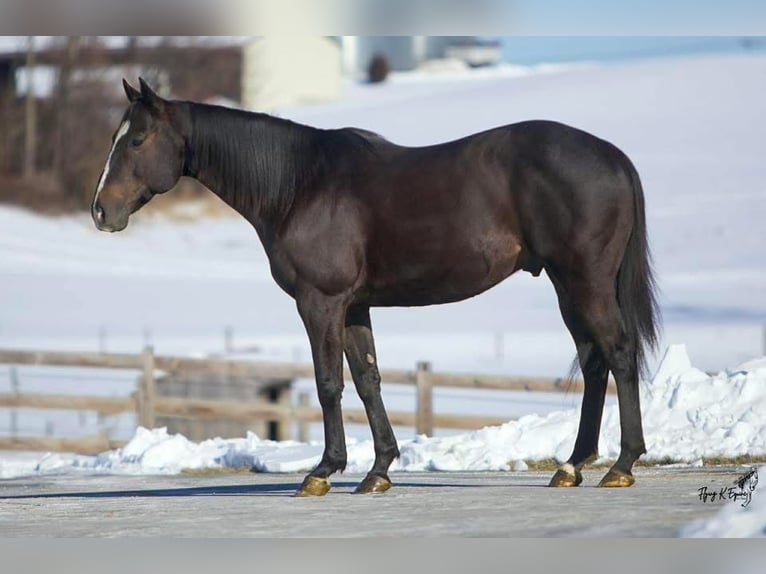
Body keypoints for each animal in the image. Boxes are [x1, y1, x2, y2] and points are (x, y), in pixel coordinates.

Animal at [92, 78, 659, 496]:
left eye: (137, 140)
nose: (101, 211)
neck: (300, 185)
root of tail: (613, 157)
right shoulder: (354, 307)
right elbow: (368, 380)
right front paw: (379, 470)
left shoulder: (319, 303)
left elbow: (328, 383)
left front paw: (322, 471)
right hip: (568, 286)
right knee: (593, 361)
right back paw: (573, 465)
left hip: (584, 281)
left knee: (618, 352)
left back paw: (621, 465)